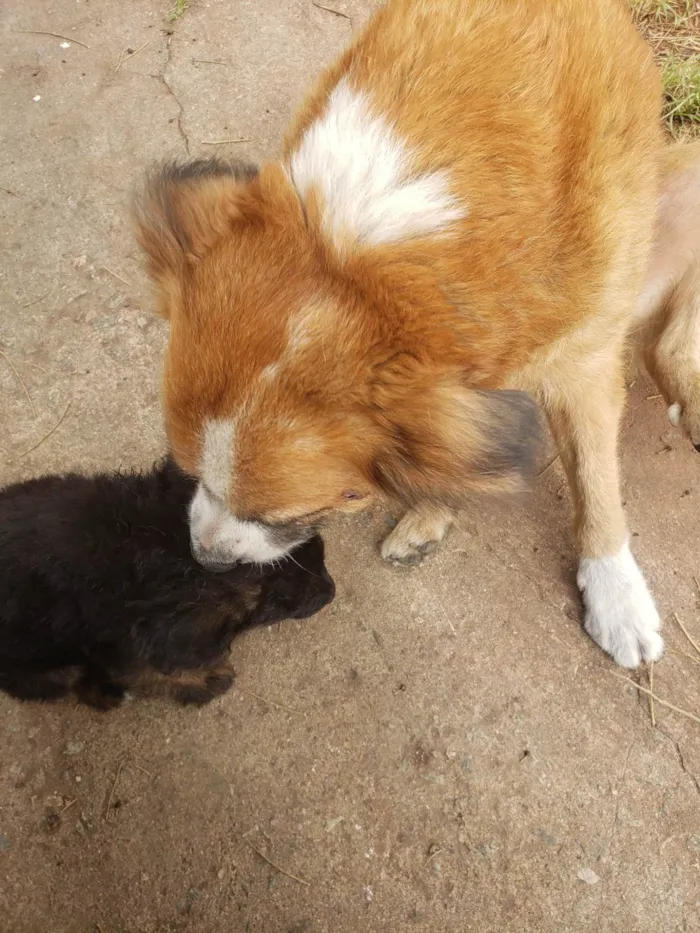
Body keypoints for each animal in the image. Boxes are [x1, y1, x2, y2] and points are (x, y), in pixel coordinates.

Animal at [0, 456, 334, 708]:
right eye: (275, 606)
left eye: (317, 548)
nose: (330, 591)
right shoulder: (127, 645)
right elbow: (153, 673)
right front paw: (205, 681)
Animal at [134, 1, 696, 668]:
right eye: (187, 469)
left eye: (325, 503)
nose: (206, 560)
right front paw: (435, 506)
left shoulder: (582, 358)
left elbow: (594, 479)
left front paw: (616, 594)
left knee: (664, 343)